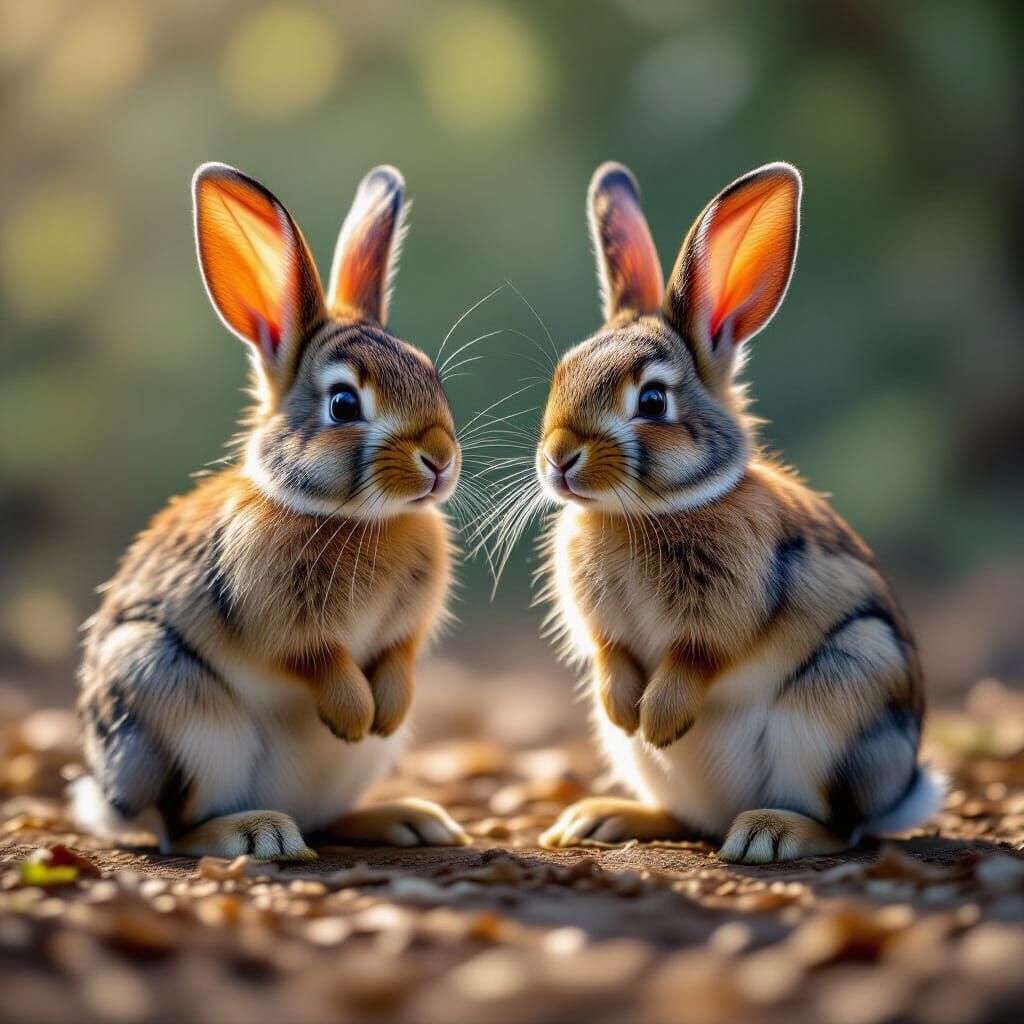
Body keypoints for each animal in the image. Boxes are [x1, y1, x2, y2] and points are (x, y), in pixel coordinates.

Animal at [72, 162, 469, 860]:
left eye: (429, 375)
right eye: (344, 404)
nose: (440, 460)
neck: (361, 516)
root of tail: (107, 799)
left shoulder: (407, 629)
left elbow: (399, 655)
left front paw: (383, 709)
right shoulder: (277, 616)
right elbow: (315, 660)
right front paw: (354, 713)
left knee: (325, 818)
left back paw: (408, 820)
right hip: (172, 703)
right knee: (179, 827)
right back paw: (257, 833)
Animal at [535, 161, 945, 862]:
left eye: (651, 401)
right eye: (562, 374)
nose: (559, 458)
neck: (643, 511)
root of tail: (900, 791)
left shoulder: (728, 607)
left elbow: (698, 658)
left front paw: (658, 718)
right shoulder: (603, 630)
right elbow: (610, 653)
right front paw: (628, 711)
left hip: (846, 695)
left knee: (842, 827)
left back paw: (768, 834)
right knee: (689, 818)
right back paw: (601, 819)